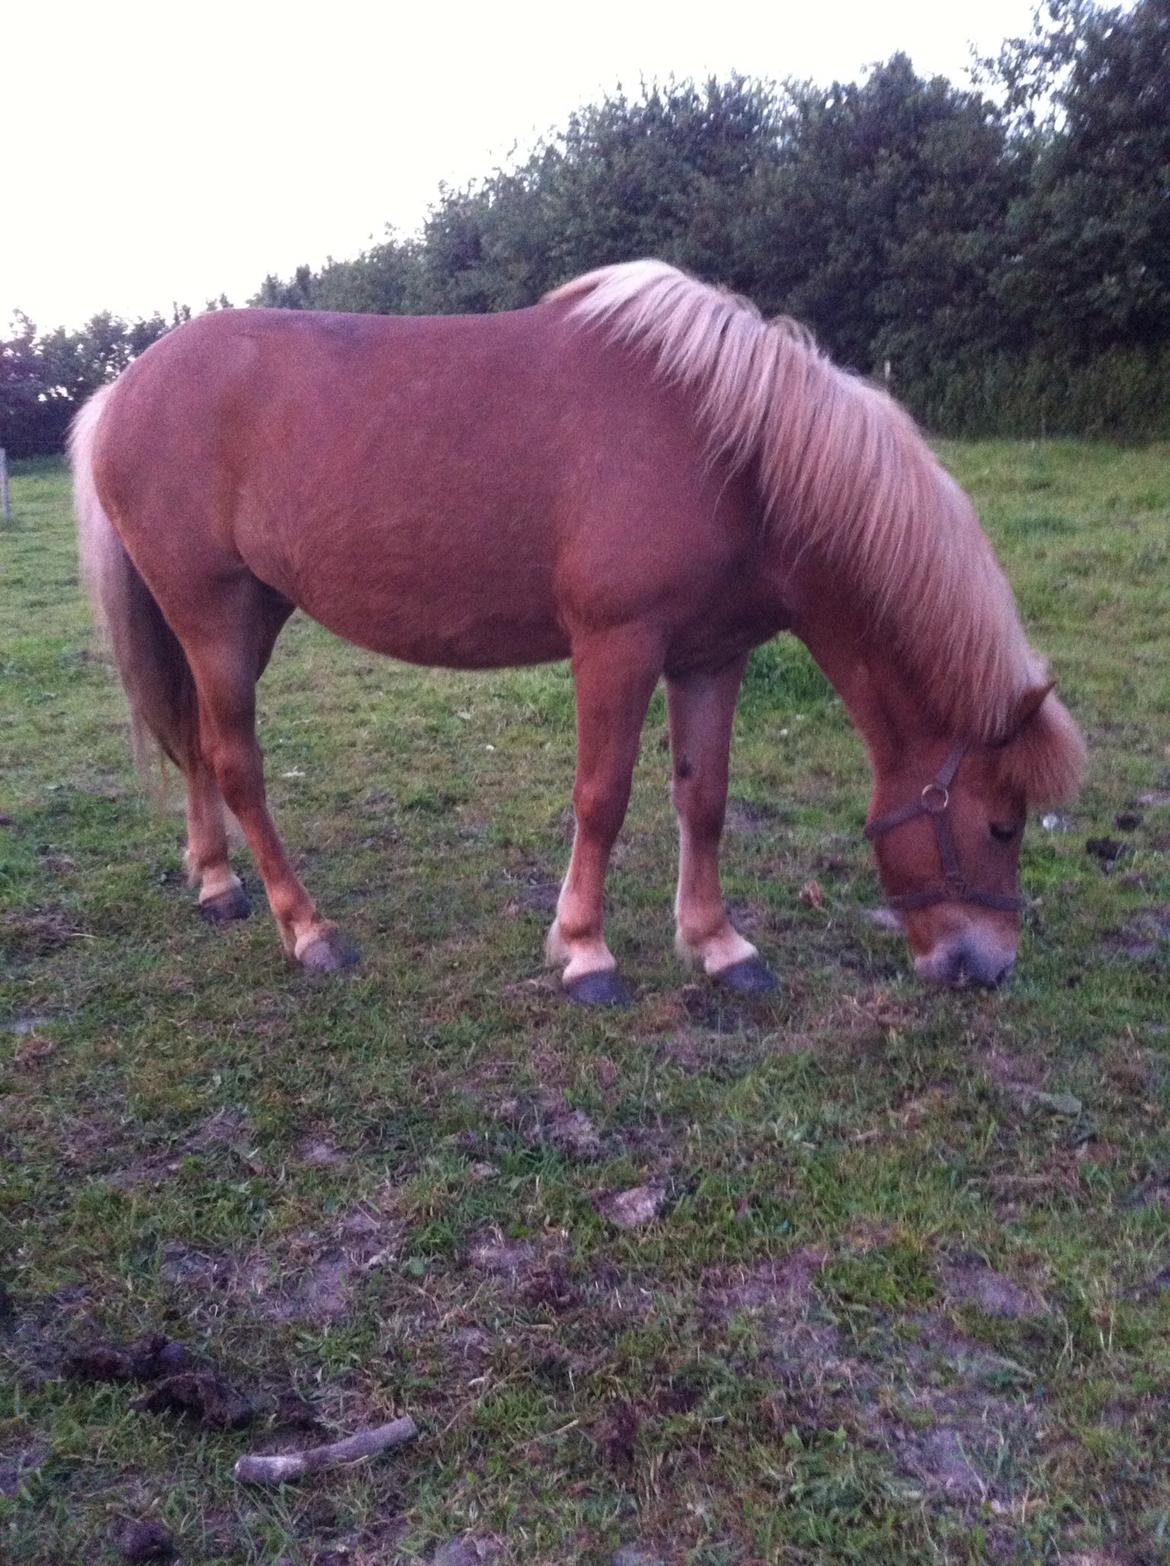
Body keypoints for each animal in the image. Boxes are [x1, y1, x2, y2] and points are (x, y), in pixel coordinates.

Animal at [68, 261, 1083, 995]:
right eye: (1001, 825)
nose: (986, 969)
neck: (733, 452)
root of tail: (121, 391)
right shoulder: (616, 646)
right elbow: (603, 797)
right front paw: (586, 952)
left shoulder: (712, 657)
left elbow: (704, 799)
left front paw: (719, 945)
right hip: (212, 615)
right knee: (235, 760)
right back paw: (306, 929)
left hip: (248, 616)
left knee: (198, 748)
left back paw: (217, 883)